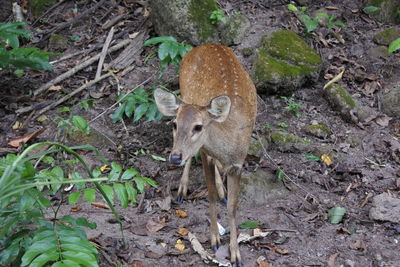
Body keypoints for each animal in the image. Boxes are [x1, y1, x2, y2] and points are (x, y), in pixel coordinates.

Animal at [154, 43, 256, 266]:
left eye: (198, 126)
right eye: (174, 124)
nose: (174, 157)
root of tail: (206, 44)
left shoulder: (239, 164)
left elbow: (233, 207)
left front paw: (236, 254)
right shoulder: (205, 152)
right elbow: (210, 195)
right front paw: (215, 240)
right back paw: (182, 189)